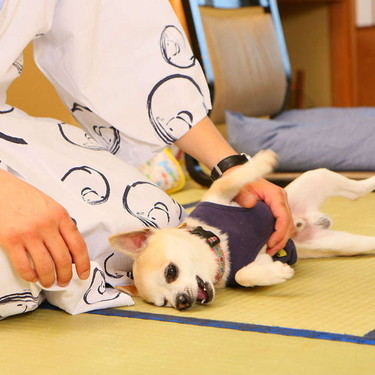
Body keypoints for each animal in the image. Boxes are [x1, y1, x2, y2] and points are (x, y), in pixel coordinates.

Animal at [108, 150, 375, 312]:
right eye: (165, 303)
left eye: (170, 272)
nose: (182, 302)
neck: (219, 247)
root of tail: (305, 220)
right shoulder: (259, 259)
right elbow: (242, 275)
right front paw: (277, 273)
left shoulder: (221, 194)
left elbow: (232, 178)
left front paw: (262, 160)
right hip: (338, 243)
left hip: (315, 178)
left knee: (355, 189)